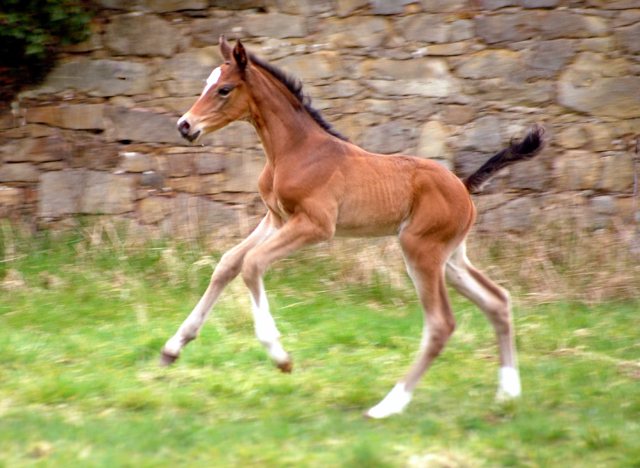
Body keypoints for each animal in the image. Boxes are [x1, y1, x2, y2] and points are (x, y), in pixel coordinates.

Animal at [160, 36, 544, 416]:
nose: (185, 125)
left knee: (441, 324)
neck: (295, 150)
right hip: (450, 258)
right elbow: (228, 263)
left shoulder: (316, 224)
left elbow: (252, 264)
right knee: (497, 300)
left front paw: (280, 356)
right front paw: (173, 347)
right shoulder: (276, 217)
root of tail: (463, 186)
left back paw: (388, 405)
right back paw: (508, 393)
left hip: (421, 250)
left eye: (224, 89)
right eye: (205, 84)